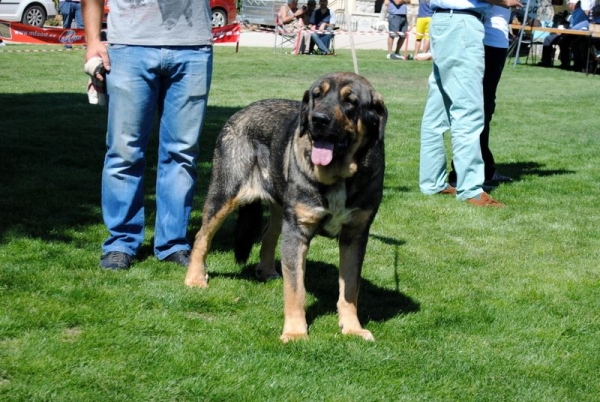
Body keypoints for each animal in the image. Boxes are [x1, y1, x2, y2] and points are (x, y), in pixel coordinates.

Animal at [185, 72, 386, 342]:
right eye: (316, 95)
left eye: (351, 101)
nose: (317, 119)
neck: (339, 176)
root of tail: (242, 111)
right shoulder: (297, 232)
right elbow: (295, 289)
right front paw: (295, 332)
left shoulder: (355, 236)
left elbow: (350, 288)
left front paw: (352, 328)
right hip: (225, 192)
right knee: (202, 236)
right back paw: (195, 278)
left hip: (281, 208)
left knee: (268, 235)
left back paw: (267, 270)